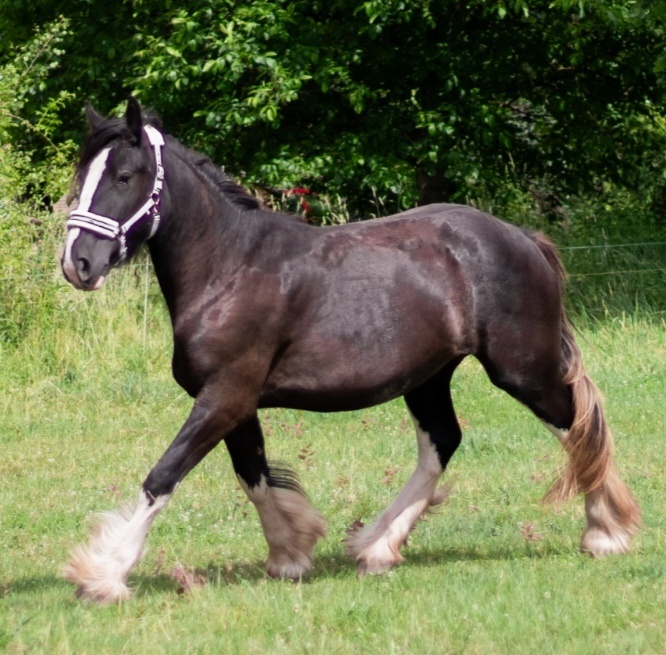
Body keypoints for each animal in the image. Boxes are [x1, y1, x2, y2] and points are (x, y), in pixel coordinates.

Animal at [60, 97, 640, 604]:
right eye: (81, 177)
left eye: (124, 177)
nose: (78, 264)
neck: (229, 267)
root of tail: (523, 238)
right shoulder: (235, 403)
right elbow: (254, 476)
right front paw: (290, 555)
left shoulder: (225, 397)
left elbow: (164, 476)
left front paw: (104, 576)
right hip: (429, 378)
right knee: (443, 441)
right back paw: (378, 547)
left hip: (522, 370)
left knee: (577, 425)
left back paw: (604, 534)